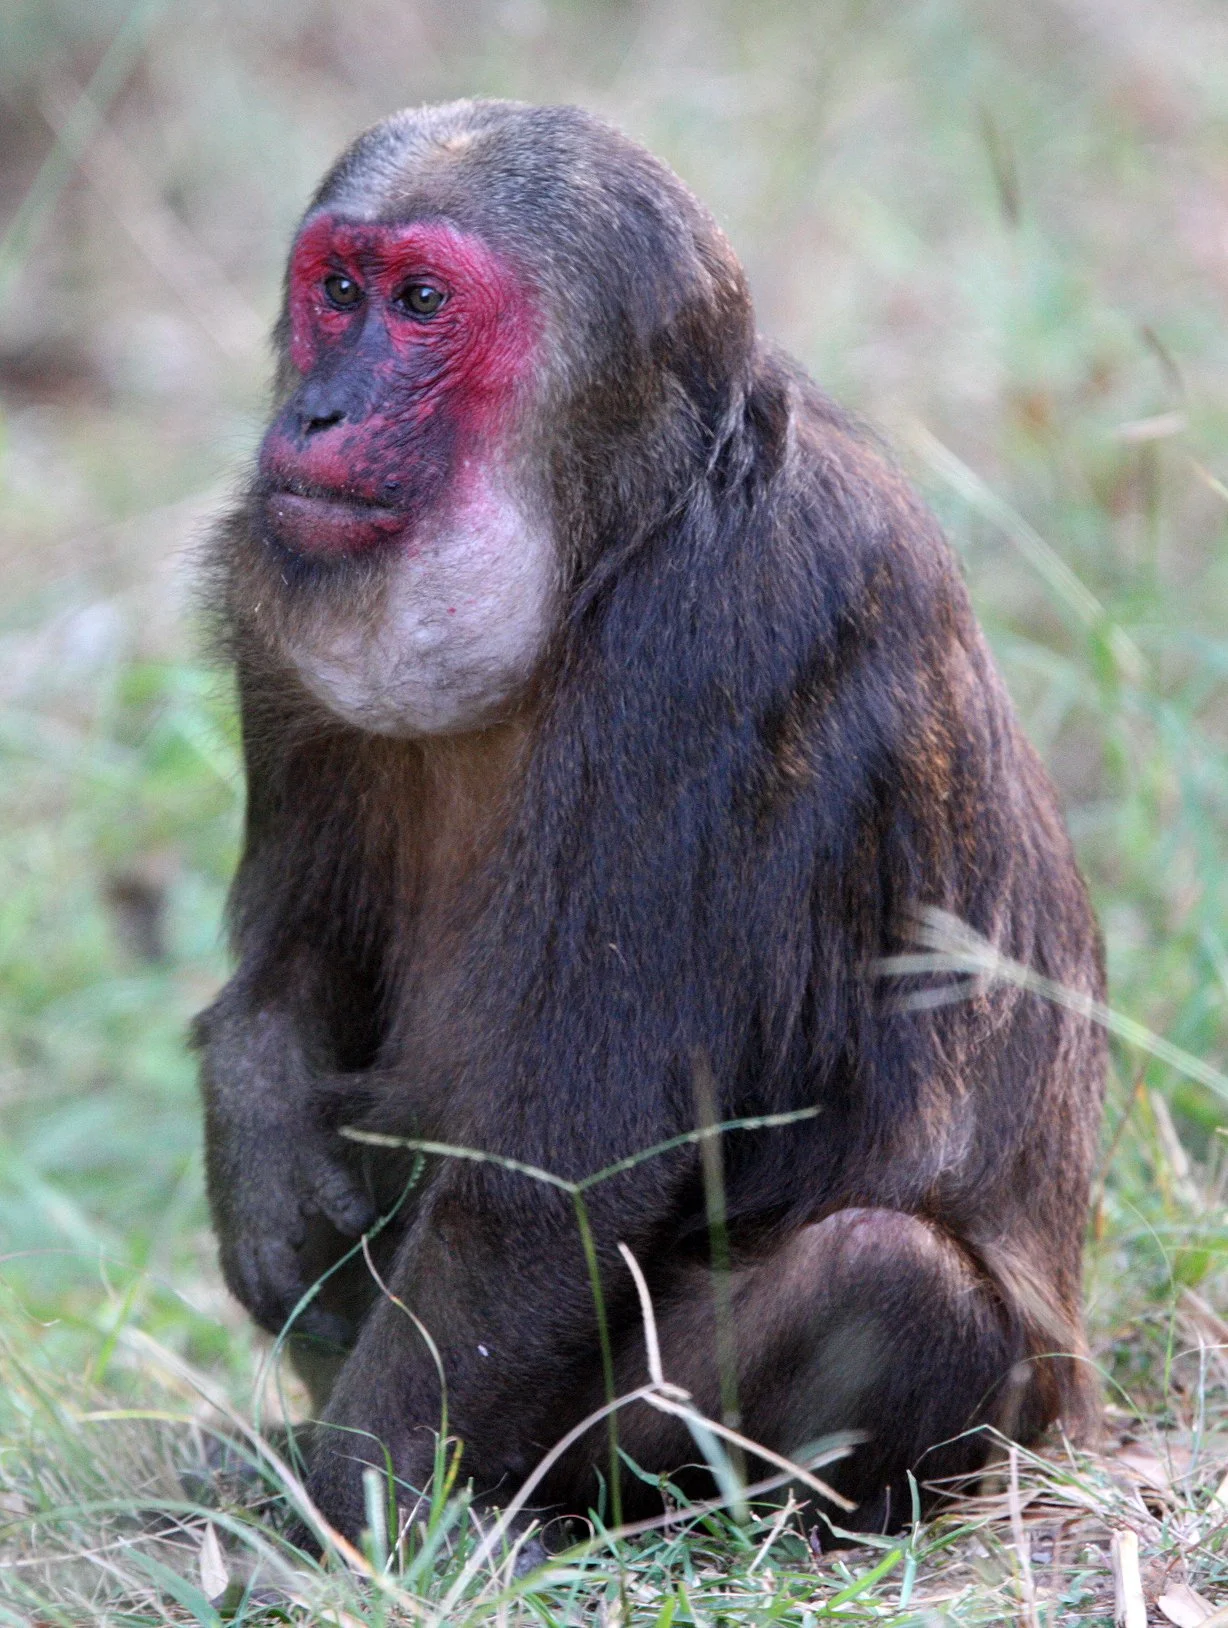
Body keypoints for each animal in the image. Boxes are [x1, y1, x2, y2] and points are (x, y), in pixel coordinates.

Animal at [193, 98, 1106, 1544]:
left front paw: (347, 1518)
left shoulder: (711, 642)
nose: (316, 407)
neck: (604, 544)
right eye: (337, 290)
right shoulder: (279, 613)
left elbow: (551, 1180)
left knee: (890, 1283)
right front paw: (256, 1118)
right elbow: (296, 960)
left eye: (421, 303)